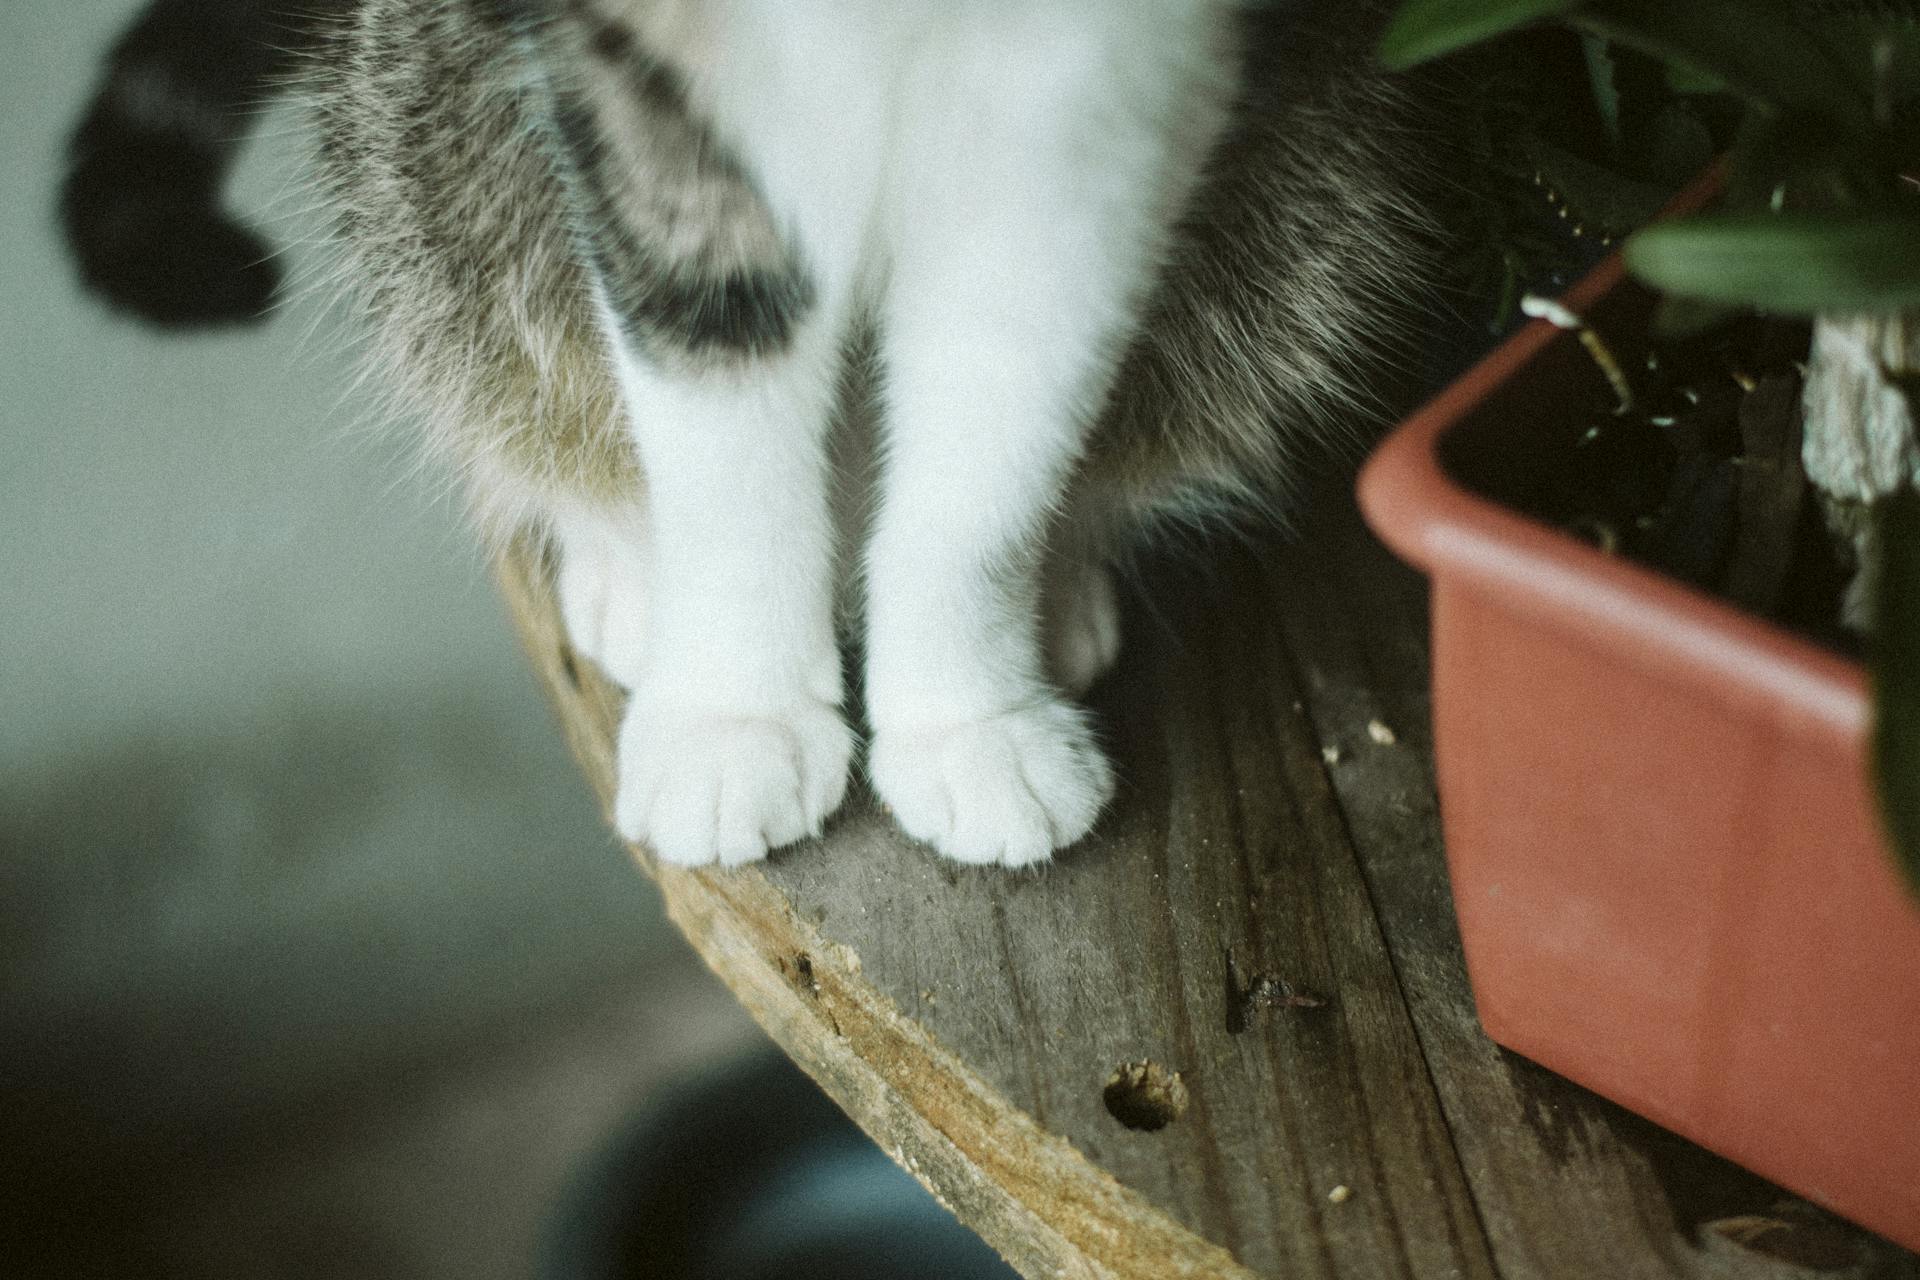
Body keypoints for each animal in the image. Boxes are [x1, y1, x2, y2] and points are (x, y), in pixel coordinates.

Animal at [307, 0, 1443, 871]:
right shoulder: (656, 97)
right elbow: (721, 420)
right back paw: (629, 565)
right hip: (415, 142)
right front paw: (733, 713)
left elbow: (995, 439)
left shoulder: (1114, 106)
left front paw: (970, 717)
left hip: (1311, 194)